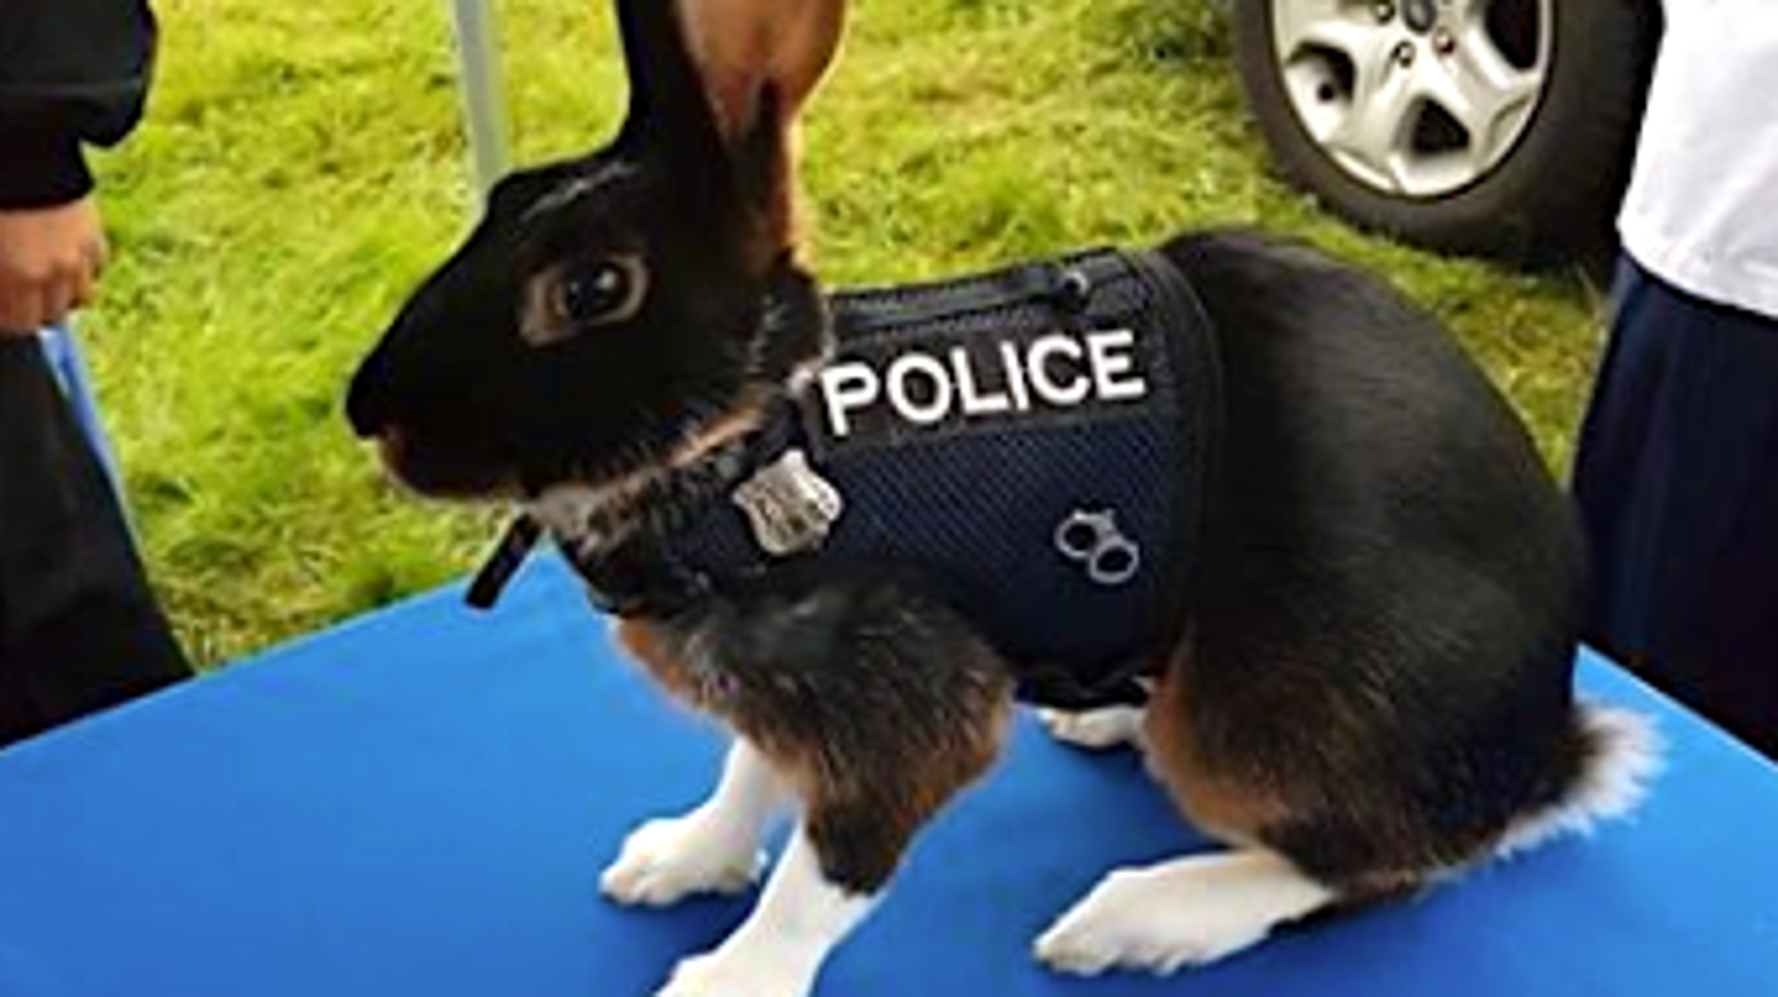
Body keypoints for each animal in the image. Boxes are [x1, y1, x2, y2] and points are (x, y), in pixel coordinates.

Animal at [345, 1, 1658, 995]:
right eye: (498, 202)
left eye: (591, 290)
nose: (371, 415)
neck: (757, 438)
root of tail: (1542, 746)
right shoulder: (785, 695)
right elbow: (749, 776)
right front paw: (673, 860)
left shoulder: (897, 700)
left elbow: (825, 871)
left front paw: (724, 982)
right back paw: (1102, 724)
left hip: (1275, 718)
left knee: (1374, 864)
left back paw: (1137, 920)